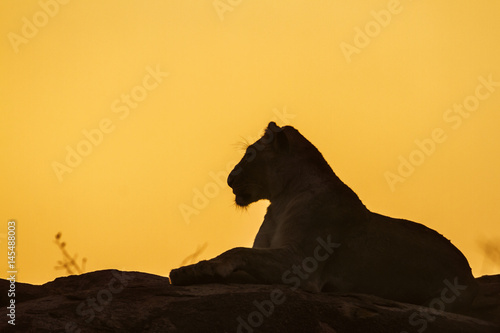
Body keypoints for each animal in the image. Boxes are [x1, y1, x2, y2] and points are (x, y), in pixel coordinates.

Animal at [170, 122, 478, 312]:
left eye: (249, 154)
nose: (229, 179)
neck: (280, 200)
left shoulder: (301, 263)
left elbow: (237, 251)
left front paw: (197, 269)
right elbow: (245, 259)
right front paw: (193, 271)